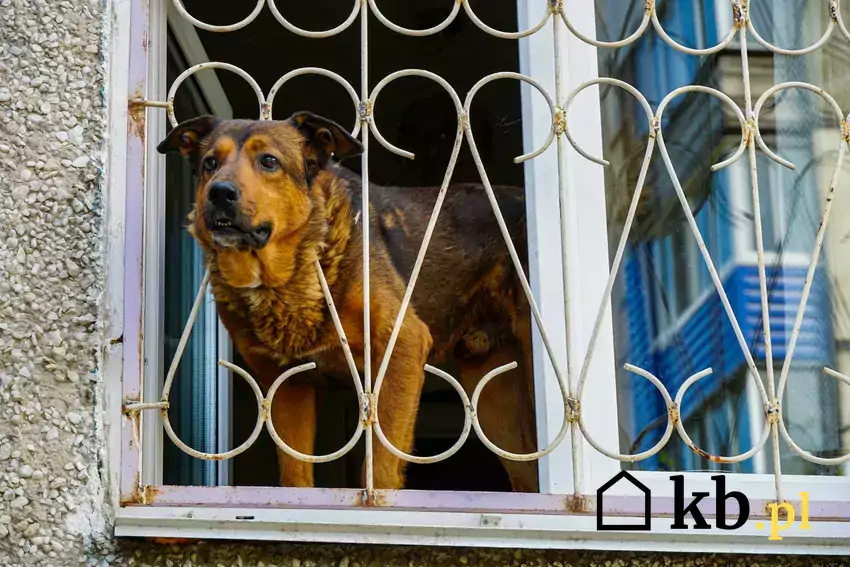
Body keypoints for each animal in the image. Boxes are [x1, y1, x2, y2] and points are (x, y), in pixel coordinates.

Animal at [156, 112, 536, 492]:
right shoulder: (286, 386)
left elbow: (380, 468)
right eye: (209, 163)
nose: (219, 192)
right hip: (495, 399)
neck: (288, 278)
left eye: (269, 161)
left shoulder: (402, 347)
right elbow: (295, 475)